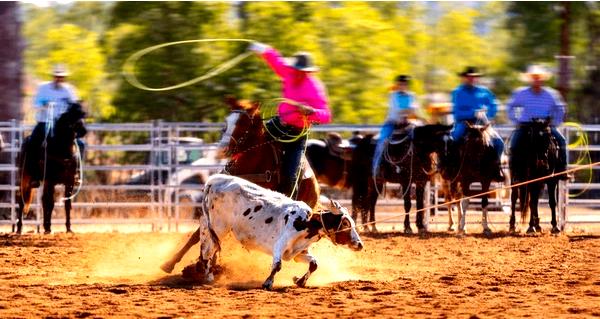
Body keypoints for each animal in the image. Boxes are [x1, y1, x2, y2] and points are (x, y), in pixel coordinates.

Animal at [161, 96, 324, 274]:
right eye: (226, 121)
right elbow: (197, 235)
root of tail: (316, 186)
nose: (221, 149)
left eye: (243, 124)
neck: (252, 166)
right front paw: (170, 263)